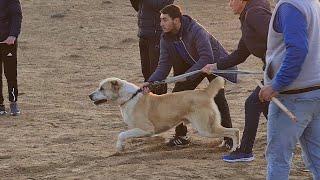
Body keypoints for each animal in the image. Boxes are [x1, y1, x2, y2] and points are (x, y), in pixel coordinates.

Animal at [89, 76, 239, 152]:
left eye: (102, 88)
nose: (89, 96)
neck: (130, 97)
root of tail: (204, 92)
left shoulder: (146, 129)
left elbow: (121, 134)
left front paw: (119, 147)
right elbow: (125, 134)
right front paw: (122, 146)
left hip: (205, 129)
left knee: (234, 131)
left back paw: (234, 148)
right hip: (209, 127)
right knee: (230, 131)